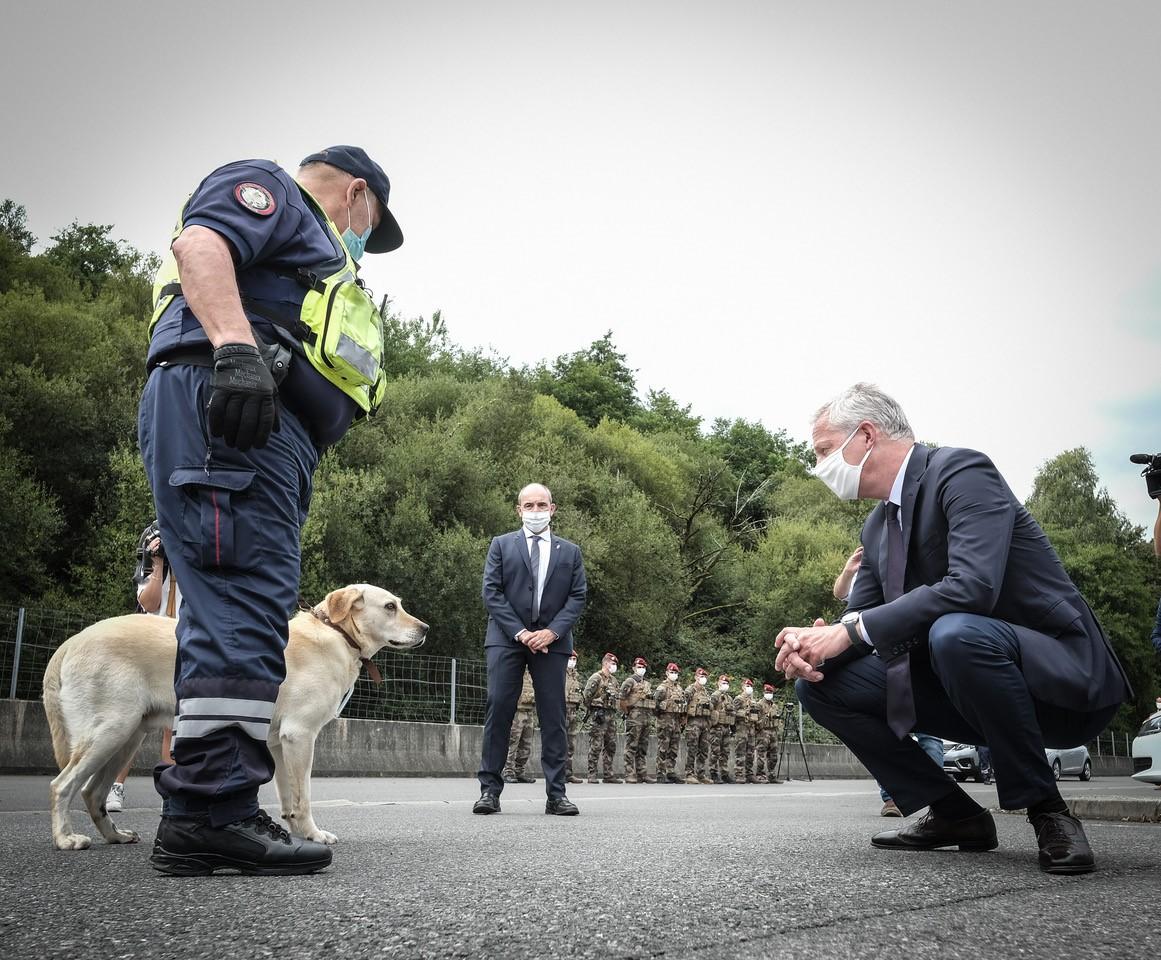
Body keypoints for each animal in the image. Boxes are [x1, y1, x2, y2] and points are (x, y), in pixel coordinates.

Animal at [44, 585, 431, 849]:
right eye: (390, 606)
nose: (426, 628)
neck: (337, 635)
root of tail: (71, 642)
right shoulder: (300, 735)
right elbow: (303, 797)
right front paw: (314, 834)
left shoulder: (280, 742)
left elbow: (289, 798)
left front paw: (296, 833)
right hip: (111, 730)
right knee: (63, 785)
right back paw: (65, 839)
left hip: (127, 736)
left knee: (92, 793)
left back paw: (115, 835)